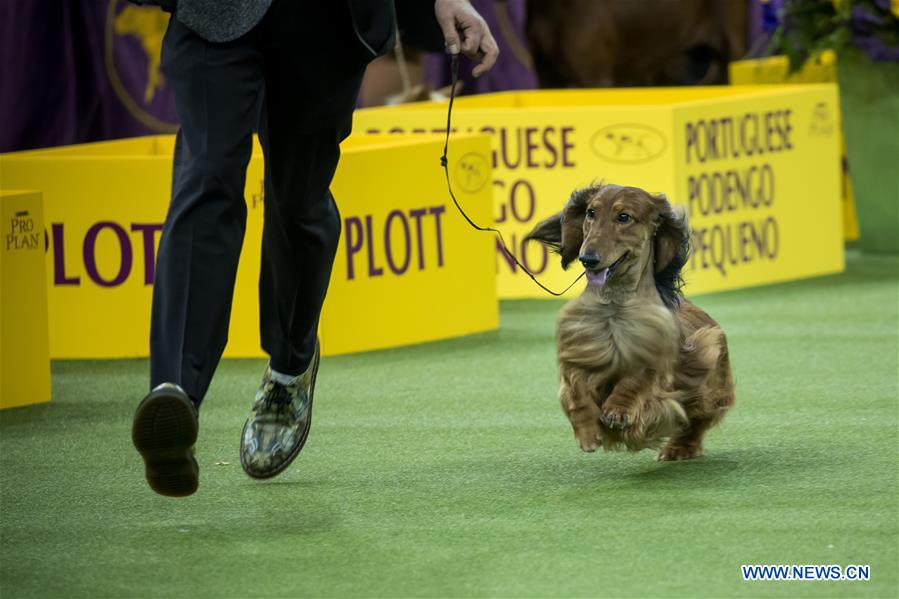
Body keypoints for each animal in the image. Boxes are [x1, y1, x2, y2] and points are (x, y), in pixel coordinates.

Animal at [528, 183, 732, 460]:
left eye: (624, 217)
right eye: (591, 212)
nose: (587, 258)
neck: (615, 310)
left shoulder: (656, 358)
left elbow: (636, 381)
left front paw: (618, 412)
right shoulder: (578, 352)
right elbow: (576, 390)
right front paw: (588, 432)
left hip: (709, 365)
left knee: (698, 418)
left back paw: (680, 448)